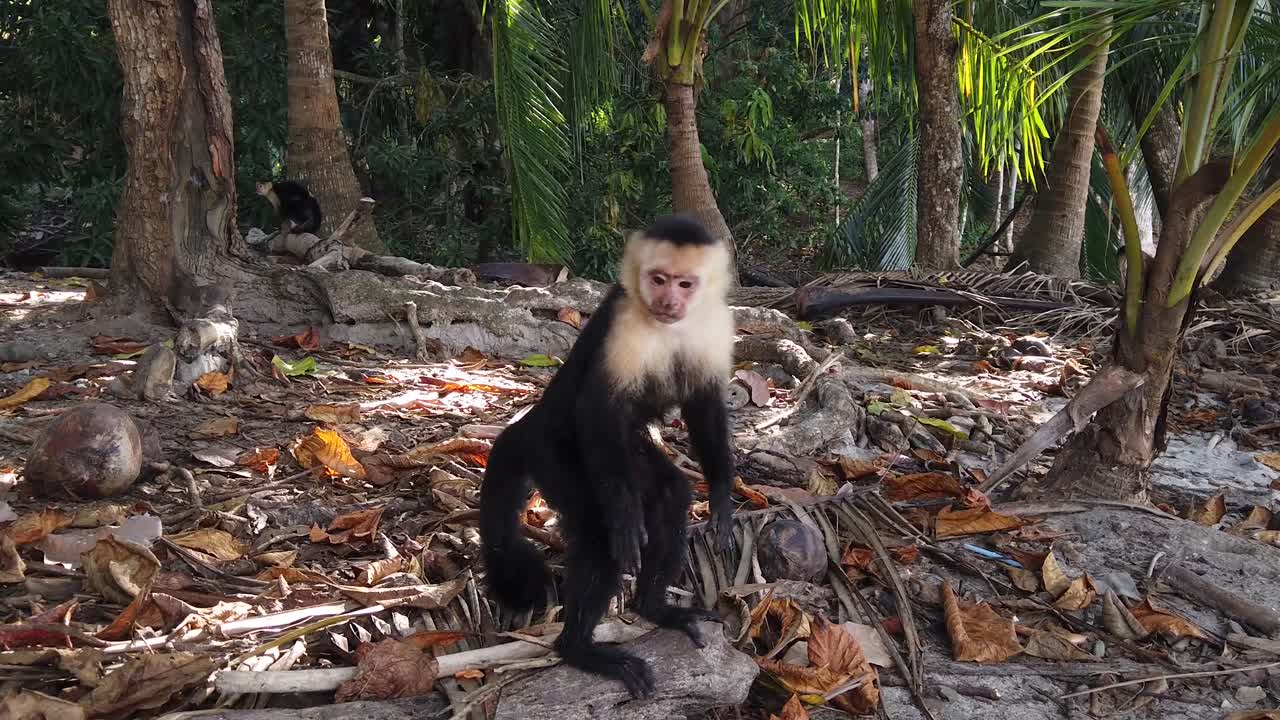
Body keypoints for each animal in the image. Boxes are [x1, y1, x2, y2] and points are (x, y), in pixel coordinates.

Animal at [479, 214, 738, 700]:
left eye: (685, 283)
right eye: (658, 279)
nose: (668, 300)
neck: (668, 326)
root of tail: (531, 421)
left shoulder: (716, 324)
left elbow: (704, 405)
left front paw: (722, 498)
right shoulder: (623, 324)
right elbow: (599, 411)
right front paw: (625, 519)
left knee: (669, 494)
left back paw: (654, 608)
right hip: (557, 455)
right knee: (599, 533)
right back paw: (579, 649)